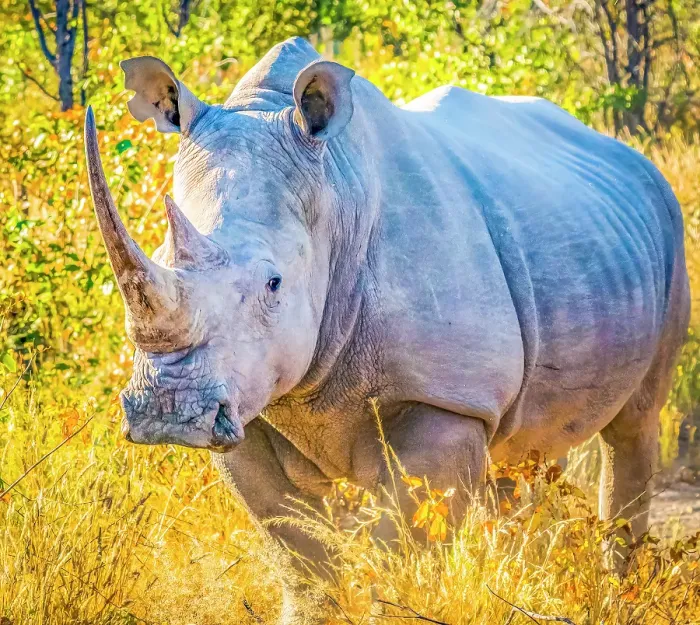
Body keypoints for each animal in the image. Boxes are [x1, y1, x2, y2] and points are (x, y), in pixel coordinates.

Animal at [84, 37, 689, 575]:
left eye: (274, 284)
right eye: (162, 255)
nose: (168, 410)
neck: (335, 194)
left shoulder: (447, 396)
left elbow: (401, 548)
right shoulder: (246, 405)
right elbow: (302, 555)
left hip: (668, 229)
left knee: (634, 423)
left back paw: (616, 582)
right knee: (530, 444)